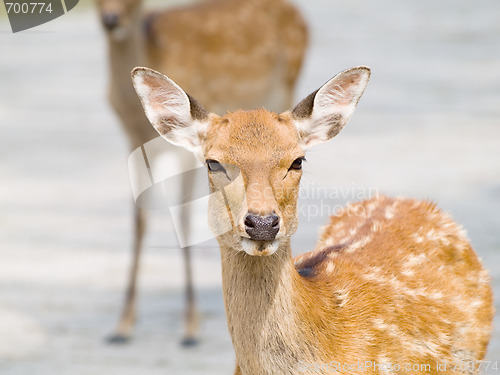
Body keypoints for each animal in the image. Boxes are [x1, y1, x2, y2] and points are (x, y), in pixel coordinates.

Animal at [93, 0, 304, 346]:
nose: (111, 20)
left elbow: (183, 218)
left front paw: (190, 326)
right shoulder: (133, 139)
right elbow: (139, 219)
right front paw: (123, 325)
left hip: (285, 89)